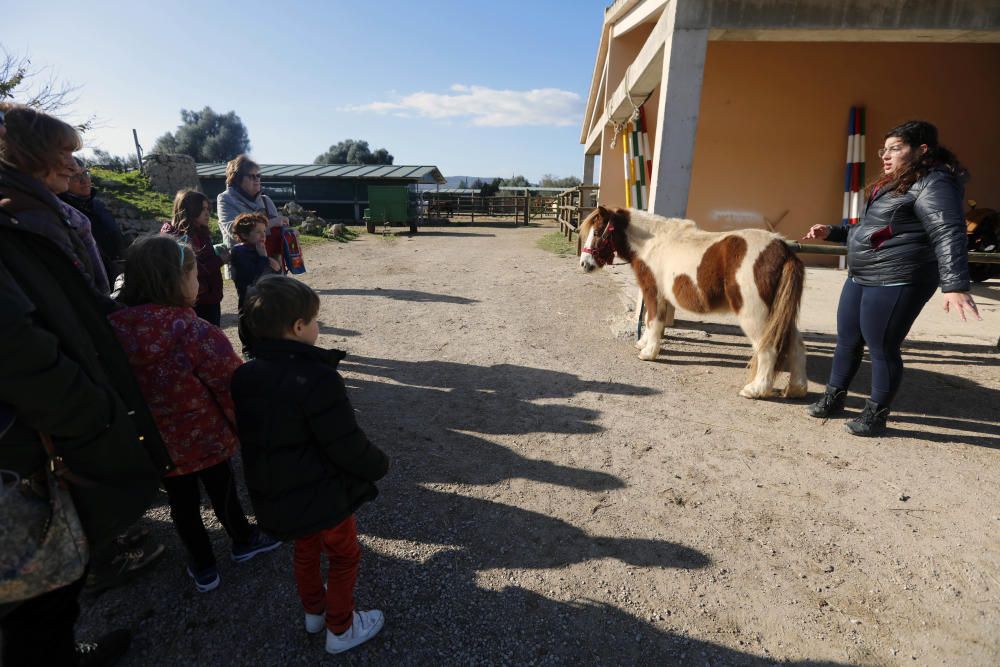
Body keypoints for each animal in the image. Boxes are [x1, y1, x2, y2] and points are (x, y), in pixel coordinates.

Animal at [584, 206, 808, 400]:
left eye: (597, 232)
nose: (584, 264)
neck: (651, 243)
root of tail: (783, 250)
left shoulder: (653, 292)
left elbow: (653, 320)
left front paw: (648, 352)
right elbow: (650, 319)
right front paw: (643, 343)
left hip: (755, 316)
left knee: (768, 348)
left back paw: (755, 390)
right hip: (780, 315)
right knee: (796, 344)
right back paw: (796, 389)